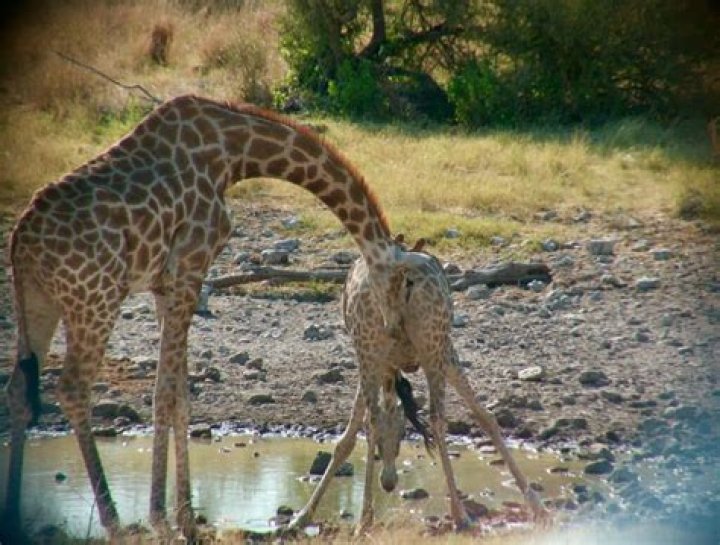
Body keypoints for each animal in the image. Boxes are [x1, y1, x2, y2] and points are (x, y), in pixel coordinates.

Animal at [2, 94, 413, 541]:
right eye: (398, 283)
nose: (394, 328)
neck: (234, 155)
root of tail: (20, 242)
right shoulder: (190, 265)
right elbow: (164, 392)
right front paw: (161, 519)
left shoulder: (166, 283)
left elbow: (181, 393)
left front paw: (186, 520)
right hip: (96, 298)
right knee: (73, 388)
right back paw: (115, 523)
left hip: (37, 302)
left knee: (19, 389)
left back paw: (16, 516)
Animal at [287, 243, 548, 534]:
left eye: (402, 434)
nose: (389, 483)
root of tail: (398, 278)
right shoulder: (407, 359)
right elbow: (485, 416)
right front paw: (301, 517)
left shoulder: (392, 361)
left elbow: (354, 433)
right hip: (424, 347)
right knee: (433, 418)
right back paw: (457, 514)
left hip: (399, 349)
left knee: (405, 418)